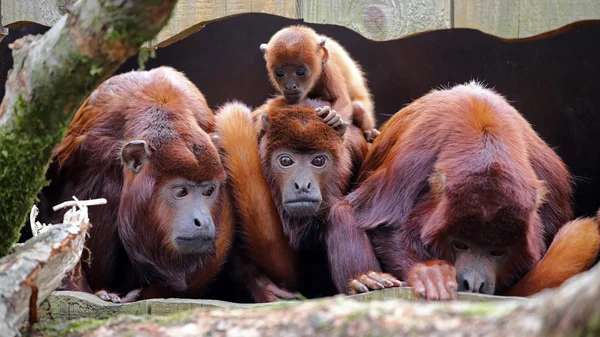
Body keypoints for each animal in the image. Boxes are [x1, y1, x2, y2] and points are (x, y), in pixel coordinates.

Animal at [328, 81, 600, 300]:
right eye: (460, 245)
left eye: (497, 252)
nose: (474, 284)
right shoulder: (411, 160)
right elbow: (374, 222)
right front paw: (428, 273)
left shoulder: (550, 181)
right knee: (342, 212)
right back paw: (367, 280)